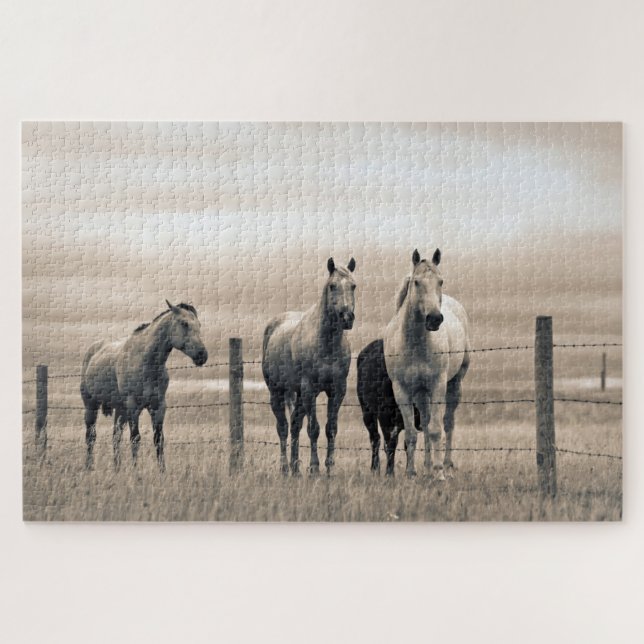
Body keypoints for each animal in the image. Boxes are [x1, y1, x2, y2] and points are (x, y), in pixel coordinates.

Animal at [80, 301, 208, 470]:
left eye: (199, 325)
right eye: (184, 323)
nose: (202, 355)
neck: (145, 362)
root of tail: (92, 350)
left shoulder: (158, 406)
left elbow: (158, 439)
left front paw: (162, 471)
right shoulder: (133, 407)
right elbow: (135, 438)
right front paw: (136, 472)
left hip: (120, 410)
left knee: (116, 437)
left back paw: (117, 469)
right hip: (91, 406)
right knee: (91, 436)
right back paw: (89, 467)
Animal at [262, 257, 357, 475]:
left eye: (353, 286)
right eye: (332, 286)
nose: (347, 317)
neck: (326, 344)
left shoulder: (337, 390)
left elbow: (331, 428)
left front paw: (329, 468)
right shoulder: (309, 390)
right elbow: (313, 429)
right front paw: (314, 468)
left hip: (297, 395)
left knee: (295, 424)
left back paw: (296, 467)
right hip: (277, 393)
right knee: (283, 427)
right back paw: (285, 467)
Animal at [357, 339, 421, 474]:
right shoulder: (385, 416)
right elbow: (390, 444)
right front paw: (389, 473)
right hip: (367, 412)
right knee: (375, 439)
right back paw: (375, 468)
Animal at [383, 249, 470, 479]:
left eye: (440, 281)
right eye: (416, 282)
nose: (434, 319)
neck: (416, 345)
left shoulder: (438, 385)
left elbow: (435, 430)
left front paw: (439, 474)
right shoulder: (402, 391)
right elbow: (412, 433)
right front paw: (411, 473)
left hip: (454, 385)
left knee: (447, 423)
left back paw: (445, 465)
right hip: (421, 393)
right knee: (425, 418)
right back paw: (427, 465)